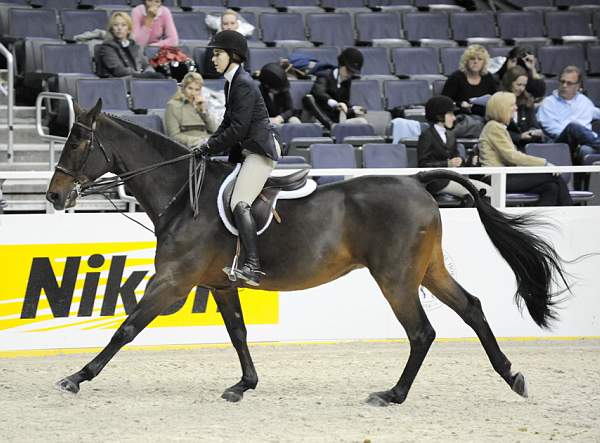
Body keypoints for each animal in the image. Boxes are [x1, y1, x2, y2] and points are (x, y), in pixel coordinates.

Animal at [47, 99, 568, 406]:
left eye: (77, 141)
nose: (53, 196)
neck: (181, 195)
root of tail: (418, 180)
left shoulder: (173, 283)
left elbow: (127, 327)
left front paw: (77, 376)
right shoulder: (217, 283)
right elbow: (237, 333)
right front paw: (244, 385)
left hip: (396, 277)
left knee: (422, 332)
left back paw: (393, 394)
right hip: (427, 270)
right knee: (472, 308)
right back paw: (511, 376)